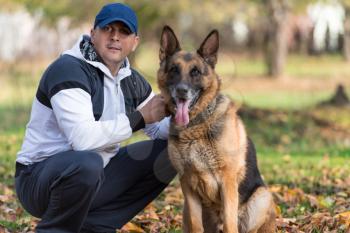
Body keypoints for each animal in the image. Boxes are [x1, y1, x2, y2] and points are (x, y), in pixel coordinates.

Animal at [157, 26, 276, 233]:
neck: (195, 127)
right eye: (173, 70)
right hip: (186, 211)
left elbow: (230, 224)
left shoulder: (227, 181)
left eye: (195, 72)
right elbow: (196, 225)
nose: (181, 91)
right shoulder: (187, 184)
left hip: (262, 198)